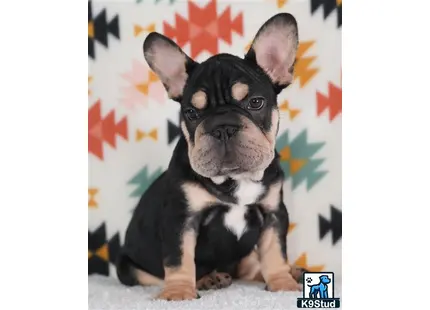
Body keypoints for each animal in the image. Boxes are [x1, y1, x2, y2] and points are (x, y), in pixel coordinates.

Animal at [114, 12, 302, 300]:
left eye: (255, 102)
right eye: (191, 113)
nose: (222, 127)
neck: (234, 181)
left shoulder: (273, 214)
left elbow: (275, 254)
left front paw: (283, 284)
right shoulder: (180, 220)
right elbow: (179, 259)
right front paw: (178, 292)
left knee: (252, 268)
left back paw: (293, 272)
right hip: (128, 267)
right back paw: (207, 279)